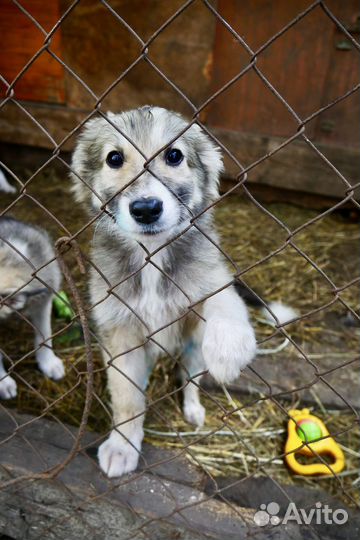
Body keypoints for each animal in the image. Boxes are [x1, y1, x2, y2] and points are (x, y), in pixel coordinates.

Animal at [69, 106, 256, 476]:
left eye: (174, 156)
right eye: (114, 158)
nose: (145, 209)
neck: (151, 256)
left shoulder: (205, 290)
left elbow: (223, 300)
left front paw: (230, 348)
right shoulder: (119, 330)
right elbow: (126, 398)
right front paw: (122, 445)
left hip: (194, 350)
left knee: (190, 379)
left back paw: (194, 407)